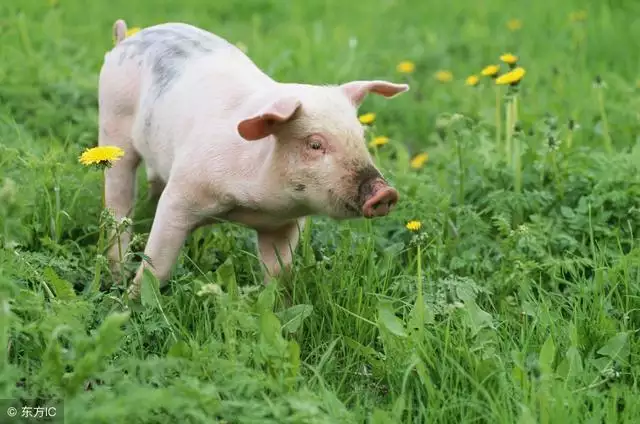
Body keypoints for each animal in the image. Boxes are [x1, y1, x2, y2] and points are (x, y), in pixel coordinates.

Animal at [100, 19, 410, 298]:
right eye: (315, 144)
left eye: (361, 137)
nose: (385, 193)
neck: (252, 205)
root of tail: (127, 38)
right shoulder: (181, 196)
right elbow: (158, 265)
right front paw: (131, 305)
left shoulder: (284, 224)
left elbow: (279, 274)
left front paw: (279, 306)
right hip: (113, 126)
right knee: (118, 206)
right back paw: (116, 275)